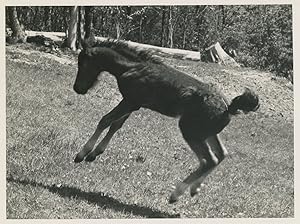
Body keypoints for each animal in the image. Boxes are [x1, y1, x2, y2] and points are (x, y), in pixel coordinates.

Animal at [73, 40, 260, 203]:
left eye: (83, 63)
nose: (78, 89)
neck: (131, 67)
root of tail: (228, 108)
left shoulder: (130, 101)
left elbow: (105, 120)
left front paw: (82, 153)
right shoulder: (133, 104)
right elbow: (115, 125)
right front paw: (95, 154)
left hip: (190, 131)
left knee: (209, 160)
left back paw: (176, 194)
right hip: (207, 133)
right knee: (222, 154)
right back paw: (195, 188)